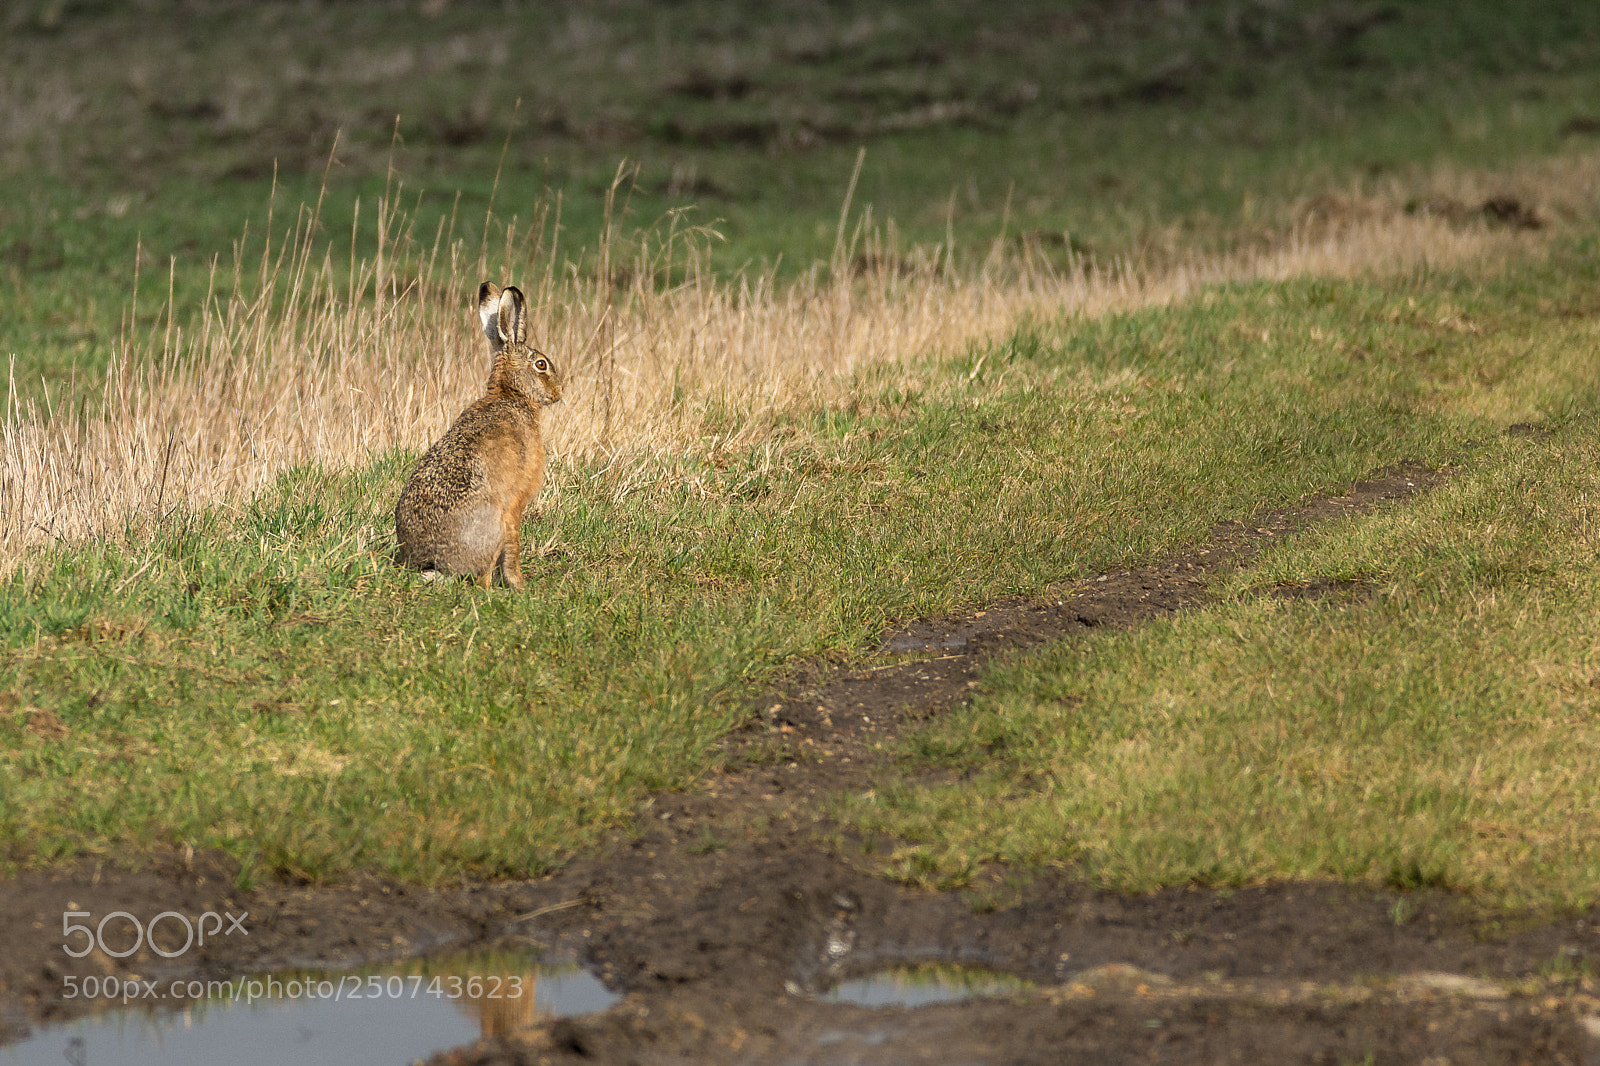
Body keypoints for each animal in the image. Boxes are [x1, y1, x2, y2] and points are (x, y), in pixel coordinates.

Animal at [394, 282, 562, 589]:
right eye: (541, 365)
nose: (558, 392)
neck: (512, 395)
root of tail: (433, 564)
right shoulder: (514, 504)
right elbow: (513, 546)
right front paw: (519, 585)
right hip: (491, 526)